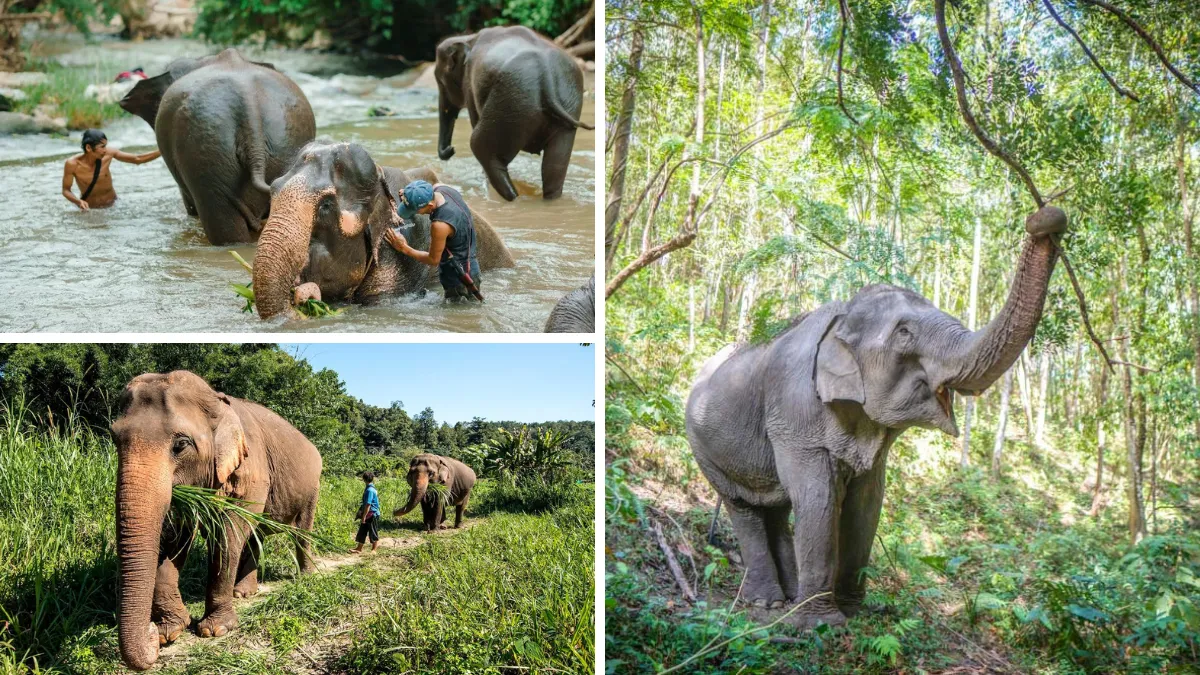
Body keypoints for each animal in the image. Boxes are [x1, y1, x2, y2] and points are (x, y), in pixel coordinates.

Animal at [111, 370, 322, 670]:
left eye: (181, 445)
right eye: (114, 438)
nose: (150, 634)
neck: (217, 401)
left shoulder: (251, 468)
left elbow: (228, 534)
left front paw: (215, 630)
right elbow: (176, 538)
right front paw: (169, 632)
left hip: (313, 485)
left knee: (301, 530)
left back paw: (305, 577)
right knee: (255, 535)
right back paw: (244, 594)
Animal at [435, 26, 594, 201]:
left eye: (440, 82)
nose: (451, 149)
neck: (468, 37)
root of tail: (545, 72)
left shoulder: (470, 85)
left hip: (510, 101)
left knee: (480, 147)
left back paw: (508, 196)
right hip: (563, 105)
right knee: (555, 165)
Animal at [685, 206, 1068, 629]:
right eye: (904, 333)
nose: (1045, 218)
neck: (842, 317)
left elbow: (867, 502)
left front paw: (853, 611)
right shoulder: (792, 411)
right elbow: (818, 498)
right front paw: (821, 624)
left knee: (779, 508)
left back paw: (788, 597)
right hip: (703, 448)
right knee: (744, 507)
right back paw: (767, 603)